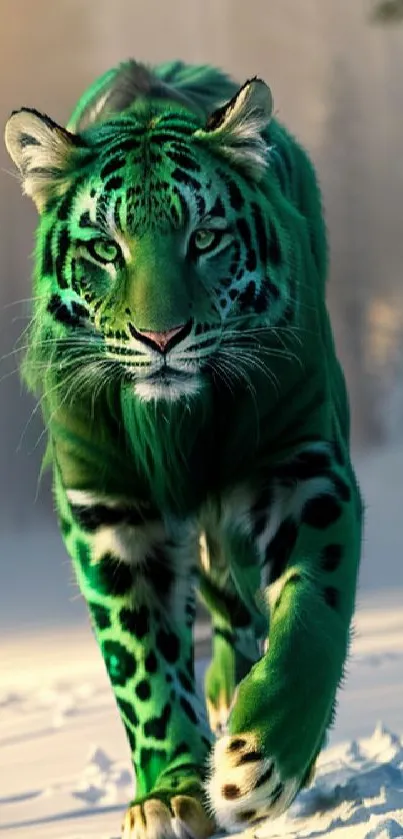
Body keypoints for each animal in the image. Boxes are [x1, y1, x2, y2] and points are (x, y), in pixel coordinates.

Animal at [3, 60, 362, 839]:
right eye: (106, 248)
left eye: (203, 238)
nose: (160, 337)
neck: (178, 423)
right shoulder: (109, 510)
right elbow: (143, 663)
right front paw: (168, 793)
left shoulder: (302, 468)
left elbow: (310, 619)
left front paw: (262, 764)